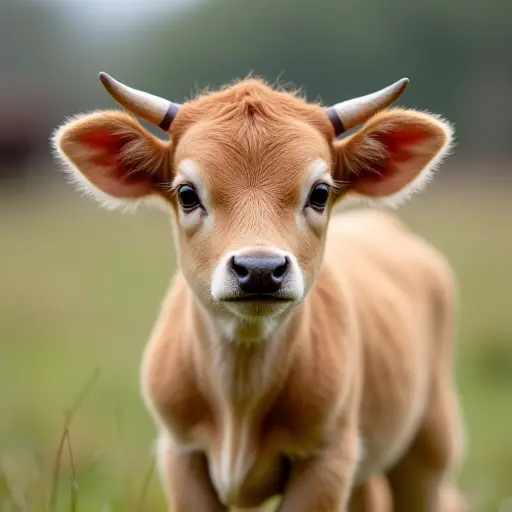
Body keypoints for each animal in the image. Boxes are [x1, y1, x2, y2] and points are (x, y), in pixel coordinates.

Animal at [54, 73, 466, 512]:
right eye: (187, 194)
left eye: (320, 192)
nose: (260, 270)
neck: (240, 394)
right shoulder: (179, 454)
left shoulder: (326, 463)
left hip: (430, 447)